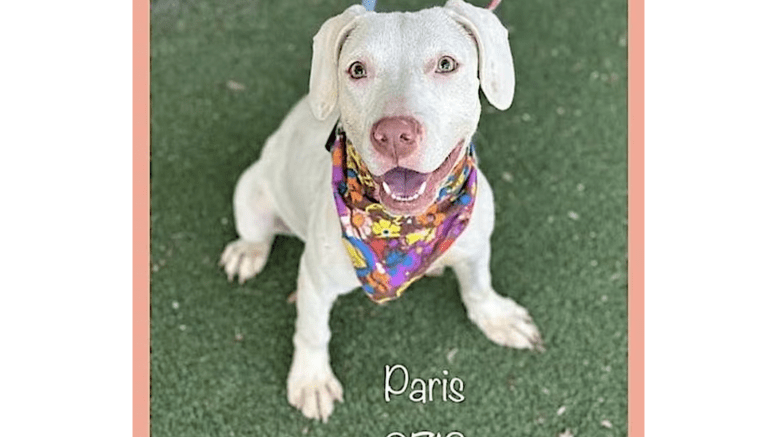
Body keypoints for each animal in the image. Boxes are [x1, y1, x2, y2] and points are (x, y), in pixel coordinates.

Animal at [221, 0, 544, 422]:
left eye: (445, 64)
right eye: (357, 70)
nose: (393, 134)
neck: (408, 230)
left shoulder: (475, 245)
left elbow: (478, 285)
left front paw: (496, 317)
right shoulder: (315, 280)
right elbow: (312, 331)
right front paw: (311, 380)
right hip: (253, 188)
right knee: (256, 232)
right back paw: (247, 252)